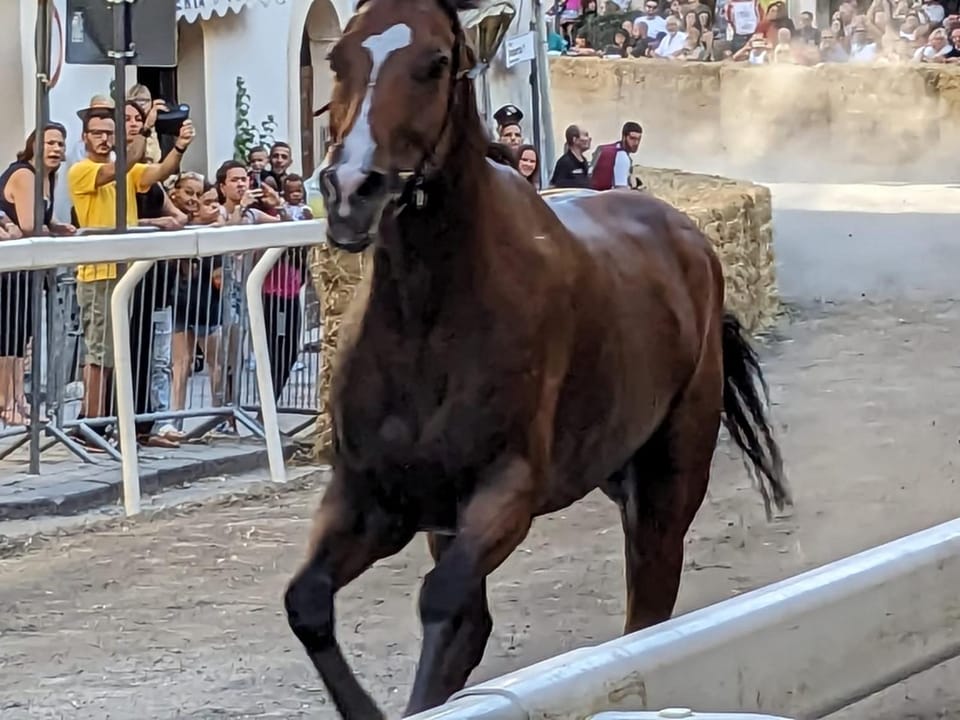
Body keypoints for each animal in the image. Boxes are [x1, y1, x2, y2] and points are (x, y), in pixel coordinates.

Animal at [284, 0, 791, 716]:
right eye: (337, 57)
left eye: (435, 62)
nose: (352, 188)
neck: (427, 319)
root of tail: (688, 237)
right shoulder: (374, 494)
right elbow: (309, 602)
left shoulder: (508, 490)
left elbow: (443, 600)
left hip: (672, 471)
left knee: (650, 597)